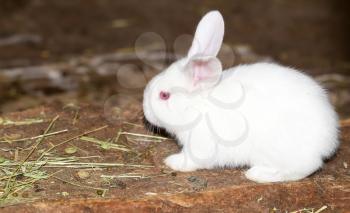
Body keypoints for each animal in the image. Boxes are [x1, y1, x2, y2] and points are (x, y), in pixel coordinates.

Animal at [142, 10, 340, 183]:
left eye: (164, 95)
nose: (146, 113)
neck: (196, 105)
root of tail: (330, 138)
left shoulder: (200, 145)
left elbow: (191, 159)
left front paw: (172, 162)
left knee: (304, 168)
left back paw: (258, 174)